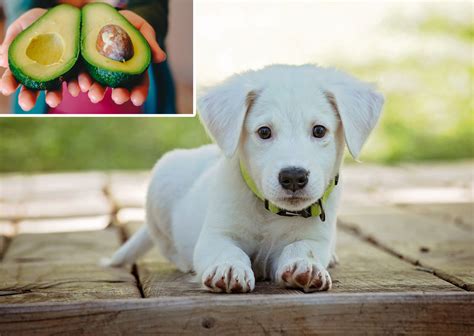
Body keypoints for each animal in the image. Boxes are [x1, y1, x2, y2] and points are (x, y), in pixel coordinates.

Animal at [106, 64, 382, 292]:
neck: (271, 213)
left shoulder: (315, 237)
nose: (293, 177)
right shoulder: (216, 235)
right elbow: (228, 250)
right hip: (162, 183)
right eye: (264, 132)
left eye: (319, 130)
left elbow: (302, 247)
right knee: (167, 246)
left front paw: (306, 266)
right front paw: (228, 268)